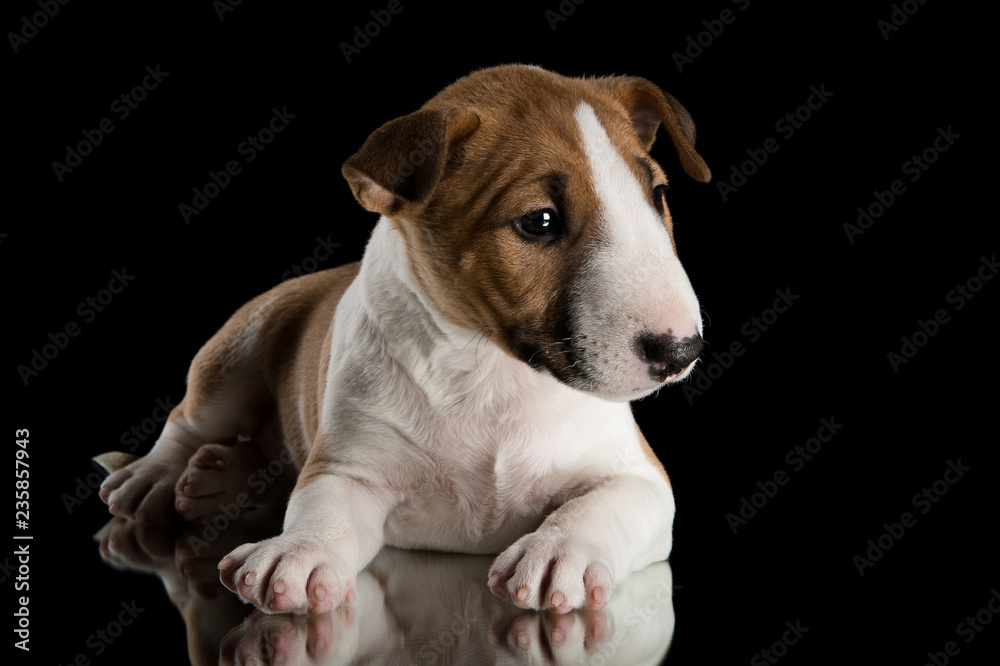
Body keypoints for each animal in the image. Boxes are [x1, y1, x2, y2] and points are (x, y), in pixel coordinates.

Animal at [99, 65, 712, 616]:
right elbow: (322, 507)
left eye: (657, 194)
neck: (490, 370)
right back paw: (153, 477)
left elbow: (606, 505)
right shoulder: (350, 465)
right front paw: (296, 553)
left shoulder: (639, 476)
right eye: (539, 221)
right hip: (239, 348)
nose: (681, 351)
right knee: (189, 420)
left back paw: (217, 478)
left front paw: (561, 552)